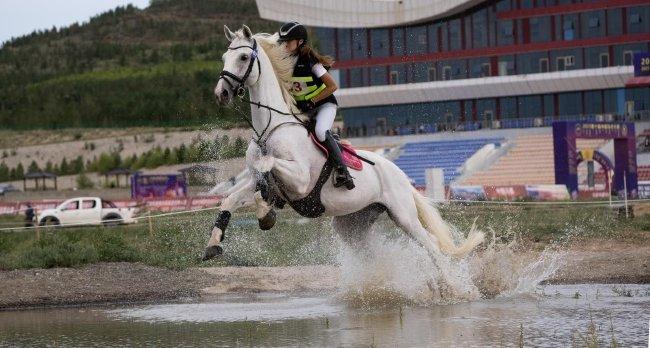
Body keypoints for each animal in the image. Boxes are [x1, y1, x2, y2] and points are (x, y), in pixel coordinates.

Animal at [205, 25, 484, 270]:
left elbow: (267, 164)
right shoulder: (258, 180)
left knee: (432, 247)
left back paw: (451, 289)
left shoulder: (300, 180)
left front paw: (265, 214)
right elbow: (234, 197)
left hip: (404, 216)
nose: (221, 93)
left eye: (243, 57)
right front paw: (214, 244)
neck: (269, 130)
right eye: (224, 57)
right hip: (354, 223)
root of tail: (399, 173)